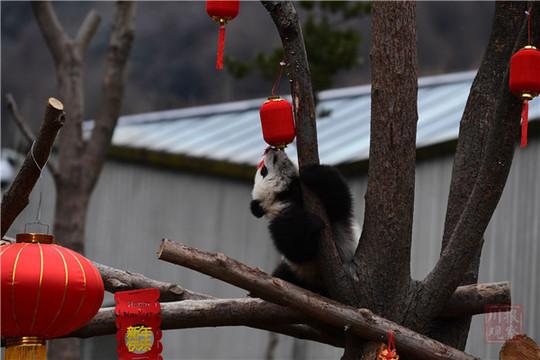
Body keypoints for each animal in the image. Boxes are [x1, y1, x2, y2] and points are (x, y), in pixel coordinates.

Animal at [251, 147, 360, 296]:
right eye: (264, 171)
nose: (270, 149)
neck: (287, 194)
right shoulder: (280, 220)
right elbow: (298, 249)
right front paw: (312, 223)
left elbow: (340, 201)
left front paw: (311, 173)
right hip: (298, 274)